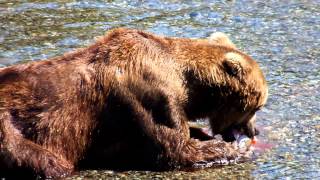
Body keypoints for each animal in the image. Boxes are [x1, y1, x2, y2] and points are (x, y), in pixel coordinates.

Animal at [0, 28, 268, 179]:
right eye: (257, 106)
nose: (253, 131)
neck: (184, 81)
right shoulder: (146, 96)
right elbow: (175, 148)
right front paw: (235, 149)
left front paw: (203, 134)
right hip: (10, 127)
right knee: (47, 162)